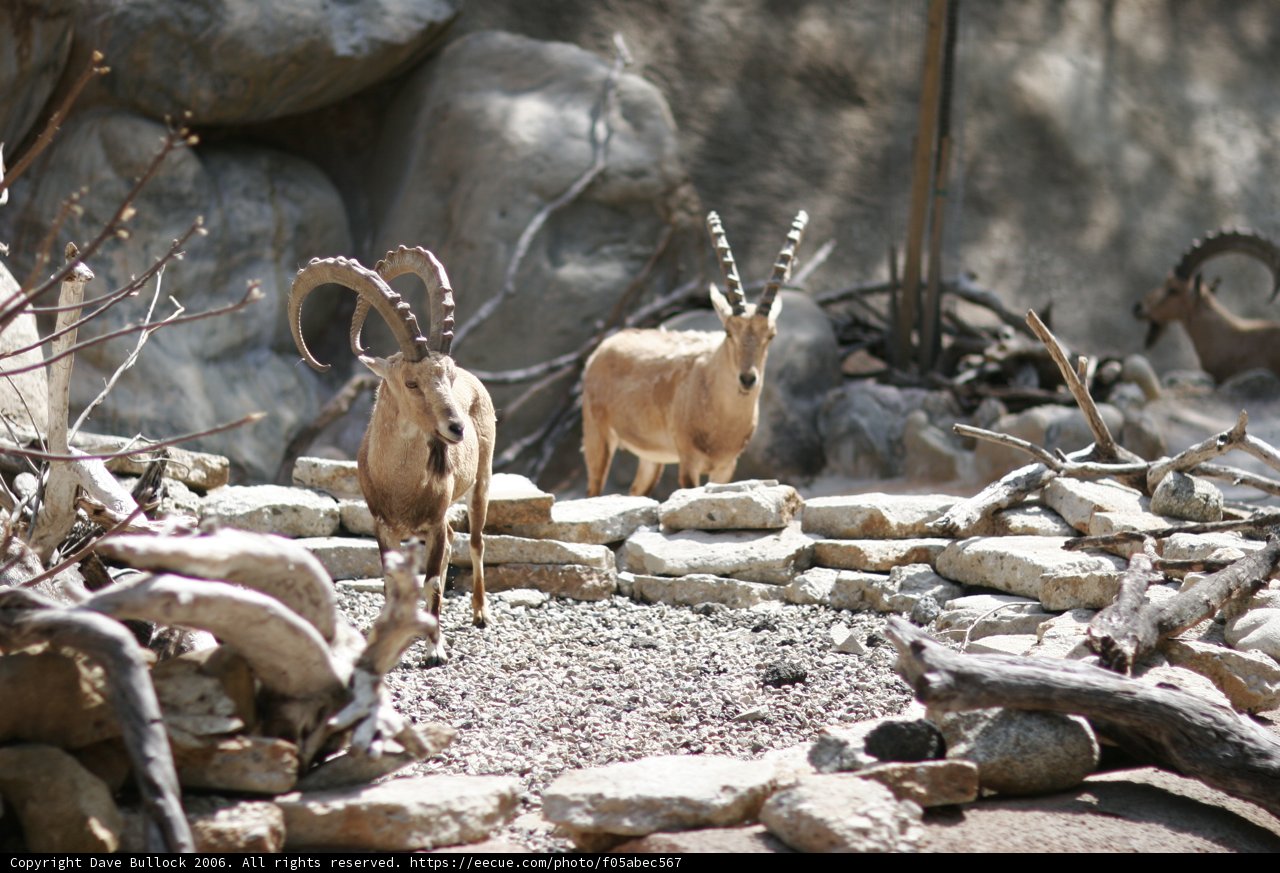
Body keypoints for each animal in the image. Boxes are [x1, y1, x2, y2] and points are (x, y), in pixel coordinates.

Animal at [289, 246, 495, 663]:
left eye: (447, 378)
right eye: (411, 382)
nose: (457, 428)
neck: (401, 484)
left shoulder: (433, 522)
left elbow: (432, 582)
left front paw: (435, 649)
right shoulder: (383, 524)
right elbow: (390, 580)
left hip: (482, 480)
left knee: (476, 540)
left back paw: (480, 613)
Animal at [582, 210, 807, 496]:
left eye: (771, 335)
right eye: (728, 331)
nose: (747, 379)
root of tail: (601, 350)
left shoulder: (725, 467)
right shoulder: (688, 459)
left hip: (651, 457)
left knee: (636, 490)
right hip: (597, 435)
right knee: (593, 489)